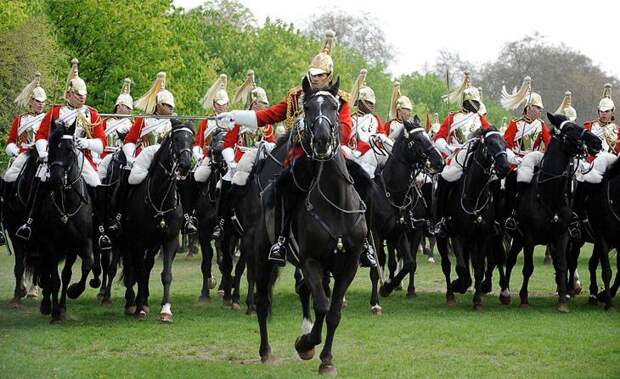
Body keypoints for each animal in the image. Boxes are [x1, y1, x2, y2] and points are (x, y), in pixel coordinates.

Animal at [117, 120, 193, 322]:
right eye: (176, 139)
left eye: (191, 140)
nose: (185, 165)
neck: (160, 200)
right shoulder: (137, 243)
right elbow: (139, 272)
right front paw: (140, 308)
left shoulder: (169, 241)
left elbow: (166, 274)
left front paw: (165, 310)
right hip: (127, 243)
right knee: (131, 267)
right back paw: (132, 302)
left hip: (152, 245)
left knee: (147, 265)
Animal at [251, 76, 368, 374]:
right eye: (307, 107)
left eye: (335, 107)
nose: (322, 140)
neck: (335, 203)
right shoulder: (311, 262)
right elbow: (323, 307)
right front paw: (305, 344)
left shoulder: (348, 265)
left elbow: (333, 312)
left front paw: (326, 359)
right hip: (262, 258)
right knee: (262, 301)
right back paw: (265, 351)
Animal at [434, 126, 512, 310]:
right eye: (490, 143)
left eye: (504, 143)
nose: (505, 166)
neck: (474, 195)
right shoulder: (457, 236)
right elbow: (462, 268)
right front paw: (459, 285)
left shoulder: (482, 237)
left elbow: (479, 268)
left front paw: (477, 299)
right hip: (443, 238)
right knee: (446, 265)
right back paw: (450, 294)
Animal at [502, 113, 604, 314]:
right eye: (569, 128)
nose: (597, 142)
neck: (549, 193)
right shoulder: (529, 237)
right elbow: (528, 268)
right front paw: (524, 298)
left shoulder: (562, 235)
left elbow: (563, 265)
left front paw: (563, 300)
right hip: (518, 237)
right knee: (510, 261)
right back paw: (506, 293)